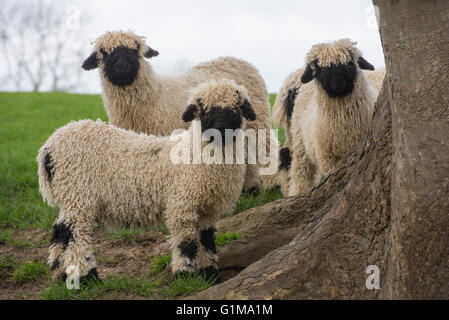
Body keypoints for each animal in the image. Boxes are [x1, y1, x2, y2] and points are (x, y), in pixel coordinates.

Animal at [36, 79, 256, 282]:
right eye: (204, 110)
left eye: (235, 109)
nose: (219, 131)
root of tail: (48, 148)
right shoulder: (182, 203)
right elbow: (186, 243)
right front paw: (184, 274)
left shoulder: (207, 208)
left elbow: (207, 240)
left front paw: (209, 274)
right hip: (78, 192)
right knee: (72, 233)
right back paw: (86, 277)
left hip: (71, 195)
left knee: (59, 231)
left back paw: (60, 272)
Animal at [82, 30, 274, 192]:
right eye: (103, 53)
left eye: (135, 49)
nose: (122, 66)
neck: (155, 96)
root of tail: (236, 59)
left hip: (258, 121)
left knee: (264, 148)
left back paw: (268, 185)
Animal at [272, 38, 384, 196]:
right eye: (321, 69)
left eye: (349, 63)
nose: (338, 83)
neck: (342, 122)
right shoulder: (328, 157)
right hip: (300, 142)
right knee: (299, 169)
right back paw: (296, 193)